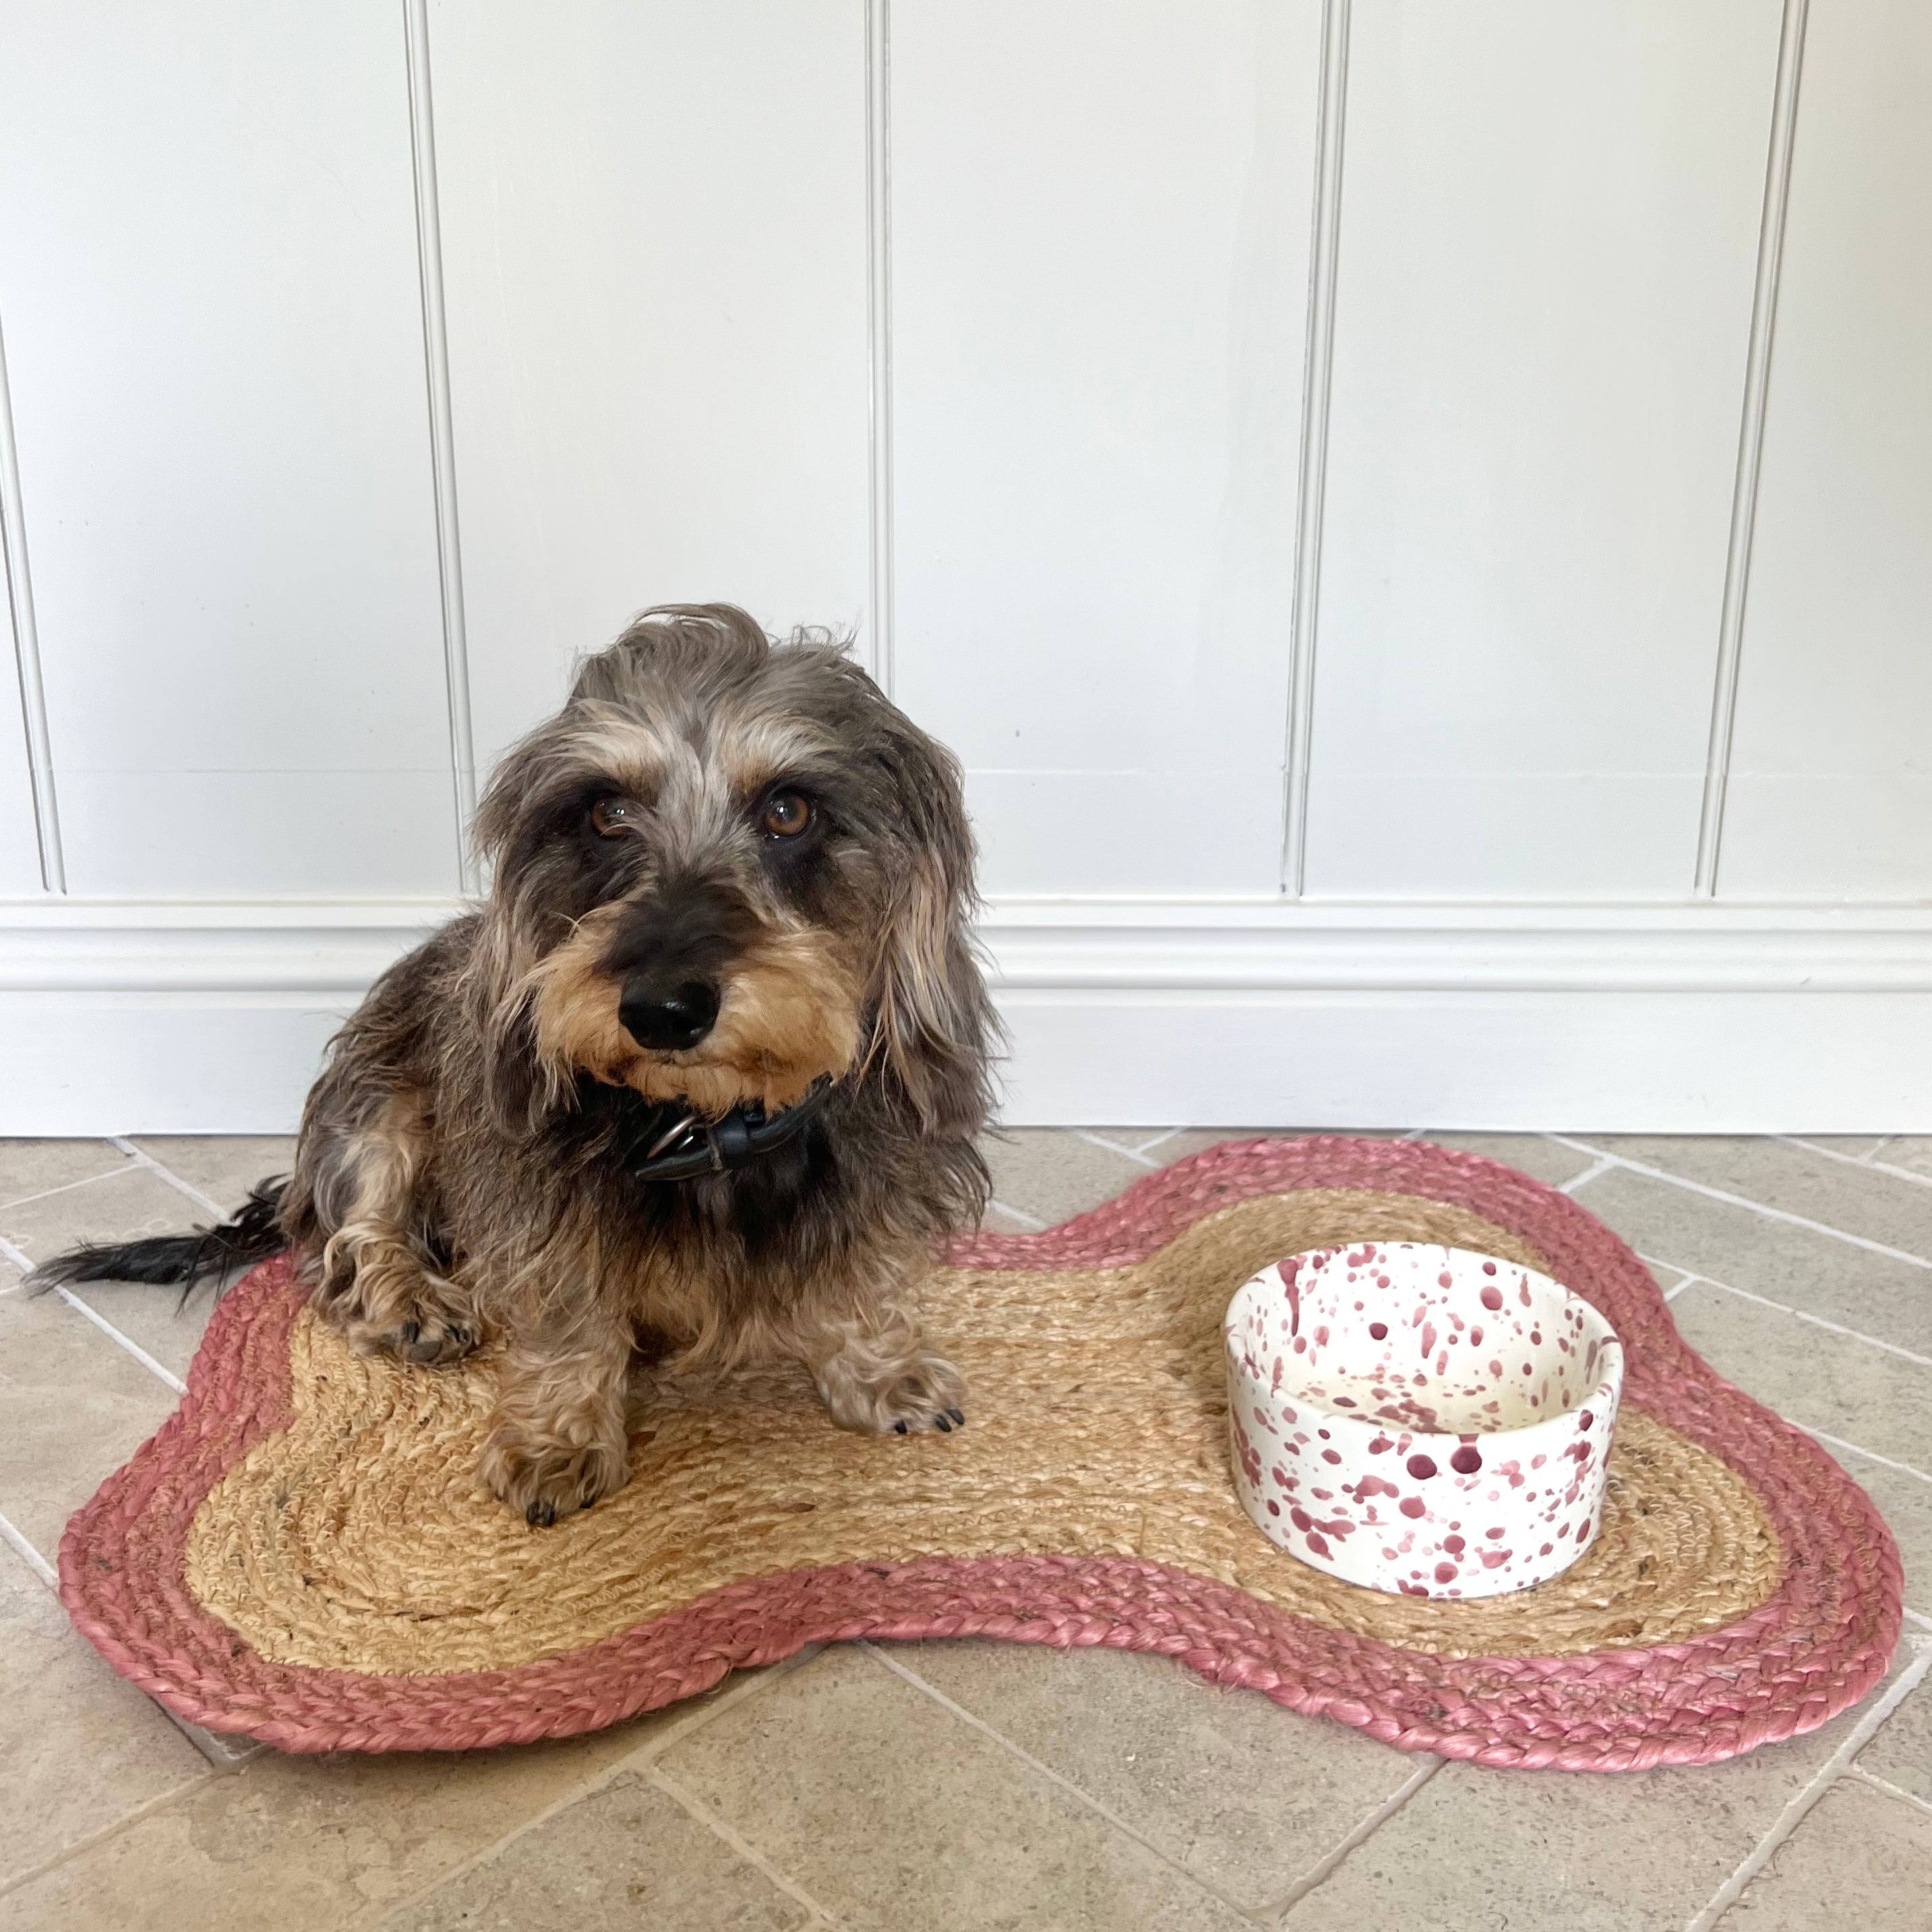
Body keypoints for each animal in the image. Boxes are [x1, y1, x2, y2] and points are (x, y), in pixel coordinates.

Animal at [43, 603, 996, 1522]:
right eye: (606, 812)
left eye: (789, 810)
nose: (661, 1009)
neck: (704, 1116)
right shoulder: (539, 1199)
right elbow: (568, 1318)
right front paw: (558, 1439)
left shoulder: (869, 1170)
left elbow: (857, 1277)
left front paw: (878, 1368)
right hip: (374, 1106)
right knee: (346, 1238)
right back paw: (410, 1298)